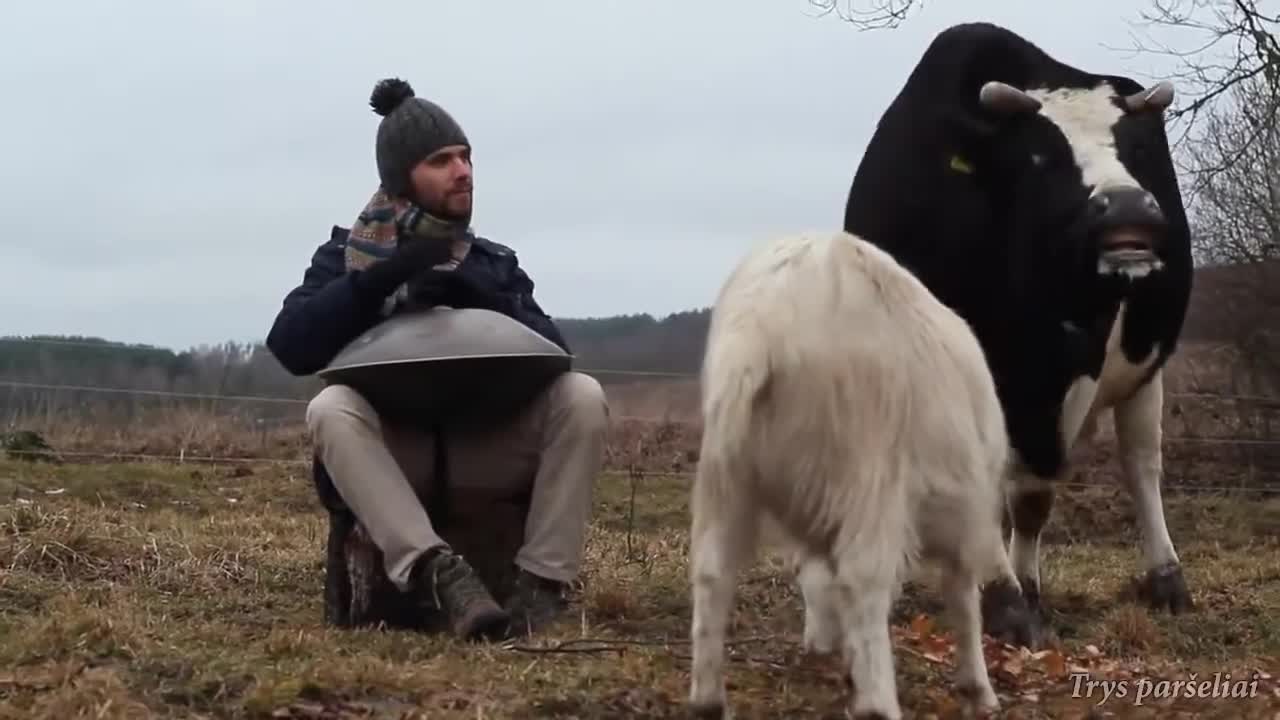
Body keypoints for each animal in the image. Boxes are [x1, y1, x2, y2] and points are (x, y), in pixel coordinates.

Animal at [686, 229, 1024, 717]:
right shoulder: (964, 513)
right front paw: (978, 688)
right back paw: (879, 704)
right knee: (864, 582)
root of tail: (760, 329)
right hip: (870, 473)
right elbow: (963, 599)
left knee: (713, 570)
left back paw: (708, 699)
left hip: (728, 471)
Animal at [844, 22, 1192, 640]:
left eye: (1138, 149)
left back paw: (1162, 577)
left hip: (1142, 367)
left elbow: (1033, 497)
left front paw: (1013, 594)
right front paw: (1002, 596)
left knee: (1140, 464)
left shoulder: (1069, 374)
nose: (1129, 208)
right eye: (1040, 157)